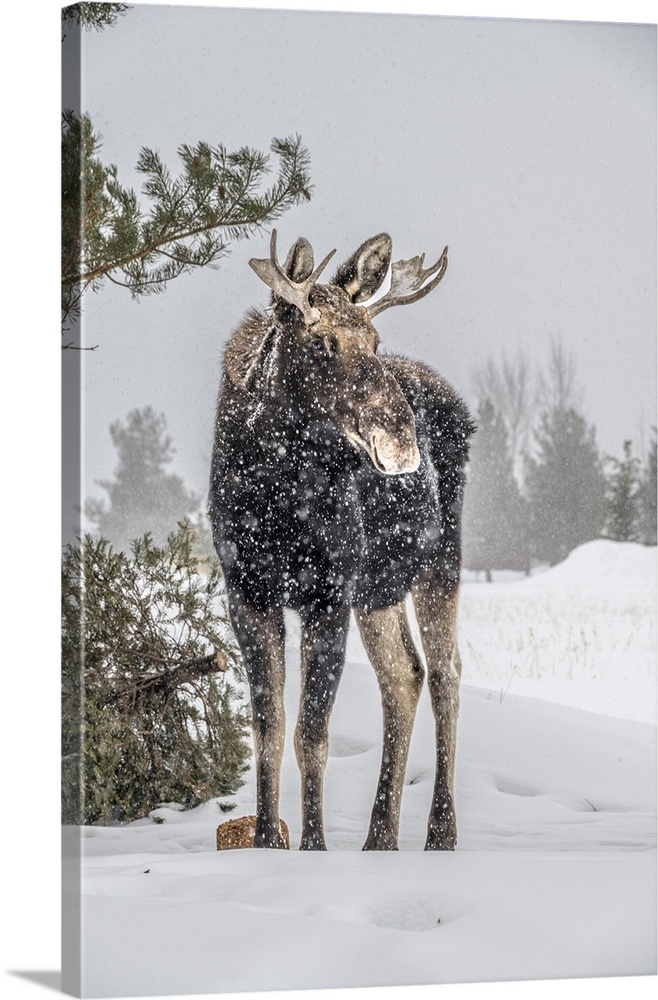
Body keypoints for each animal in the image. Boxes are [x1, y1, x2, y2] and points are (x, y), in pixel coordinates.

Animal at [209, 230, 474, 851]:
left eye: (375, 339)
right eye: (321, 342)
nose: (400, 436)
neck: (274, 495)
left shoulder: (327, 592)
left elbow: (311, 736)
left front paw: (314, 847)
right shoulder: (247, 592)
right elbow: (269, 731)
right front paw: (266, 842)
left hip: (439, 561)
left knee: (447, 672)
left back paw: (439, 833)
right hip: (379, 587)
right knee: (405, 675)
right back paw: (379, 839)